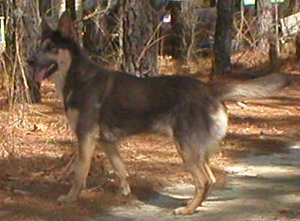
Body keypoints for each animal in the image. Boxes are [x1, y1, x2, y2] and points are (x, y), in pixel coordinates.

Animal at [27, 11, 290, 215]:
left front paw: (71, 198)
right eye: (39, 46)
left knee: (204, 180)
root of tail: (208, 88)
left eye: (51, 48)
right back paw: (194, 205)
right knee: (210, 180)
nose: (29, 61)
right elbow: (121, 170)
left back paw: (187, 210)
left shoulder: (86, 138)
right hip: (197, 150)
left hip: (185, 148)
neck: (77, 76)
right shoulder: (106, 142)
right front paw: (124, 193)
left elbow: (79, 173)